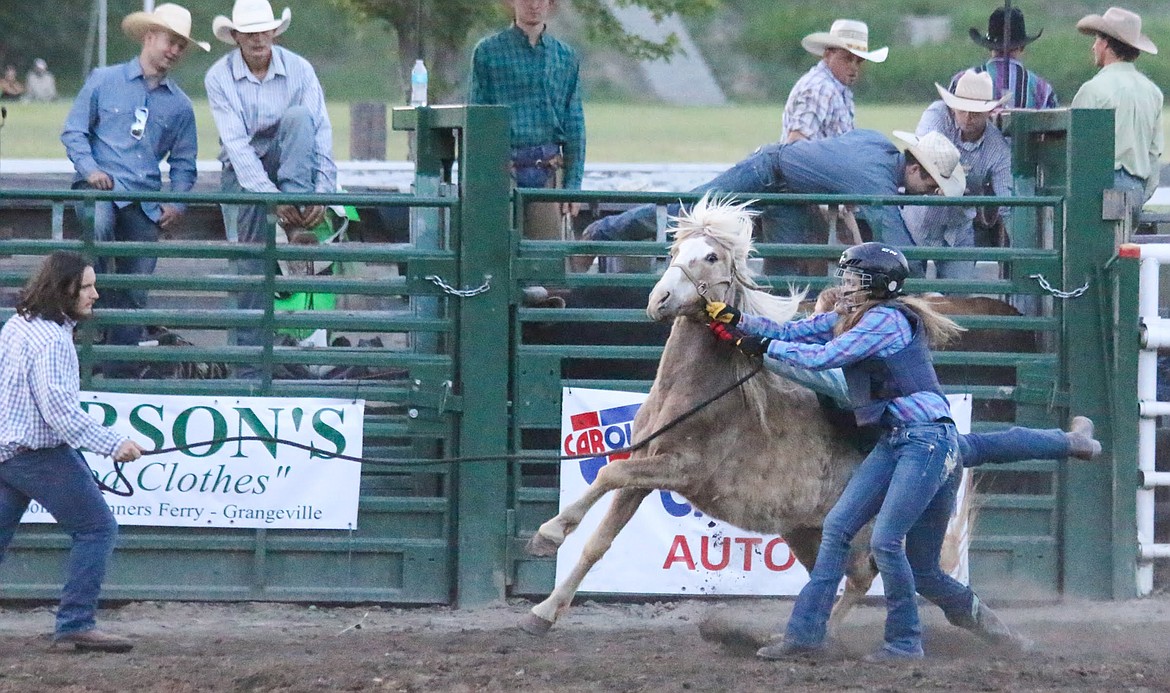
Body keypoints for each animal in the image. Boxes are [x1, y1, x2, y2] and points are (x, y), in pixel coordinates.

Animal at [521, 193, 879, 632]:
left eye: (710, 256)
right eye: (674, 252)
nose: (659, 300)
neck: (687, 393)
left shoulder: (682, 467)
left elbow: (608, 473)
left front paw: (549, 533)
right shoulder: (643, 464)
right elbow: (598, 541)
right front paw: (544, 611)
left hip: (857, 528)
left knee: (863, 576)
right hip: (804, 529)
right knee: (833, 575)